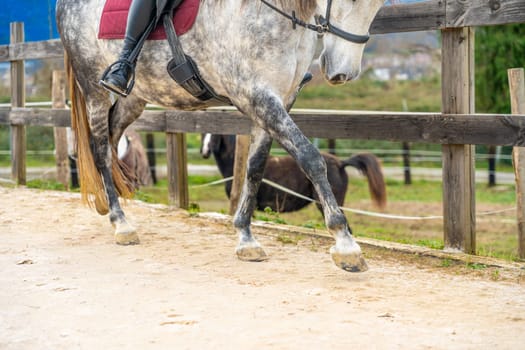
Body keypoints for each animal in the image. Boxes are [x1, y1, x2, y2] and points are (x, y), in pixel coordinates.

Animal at [56, 0, 384, 272]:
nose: (342, 72)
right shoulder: (257, 97)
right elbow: (310, 158)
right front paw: (345, 244)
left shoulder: (277, 100)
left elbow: (255, 167)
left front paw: (246, 238)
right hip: (95, 92)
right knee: (100, 150)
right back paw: (121, 223)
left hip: (133, 100)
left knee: (111, 141)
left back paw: (104, 203)